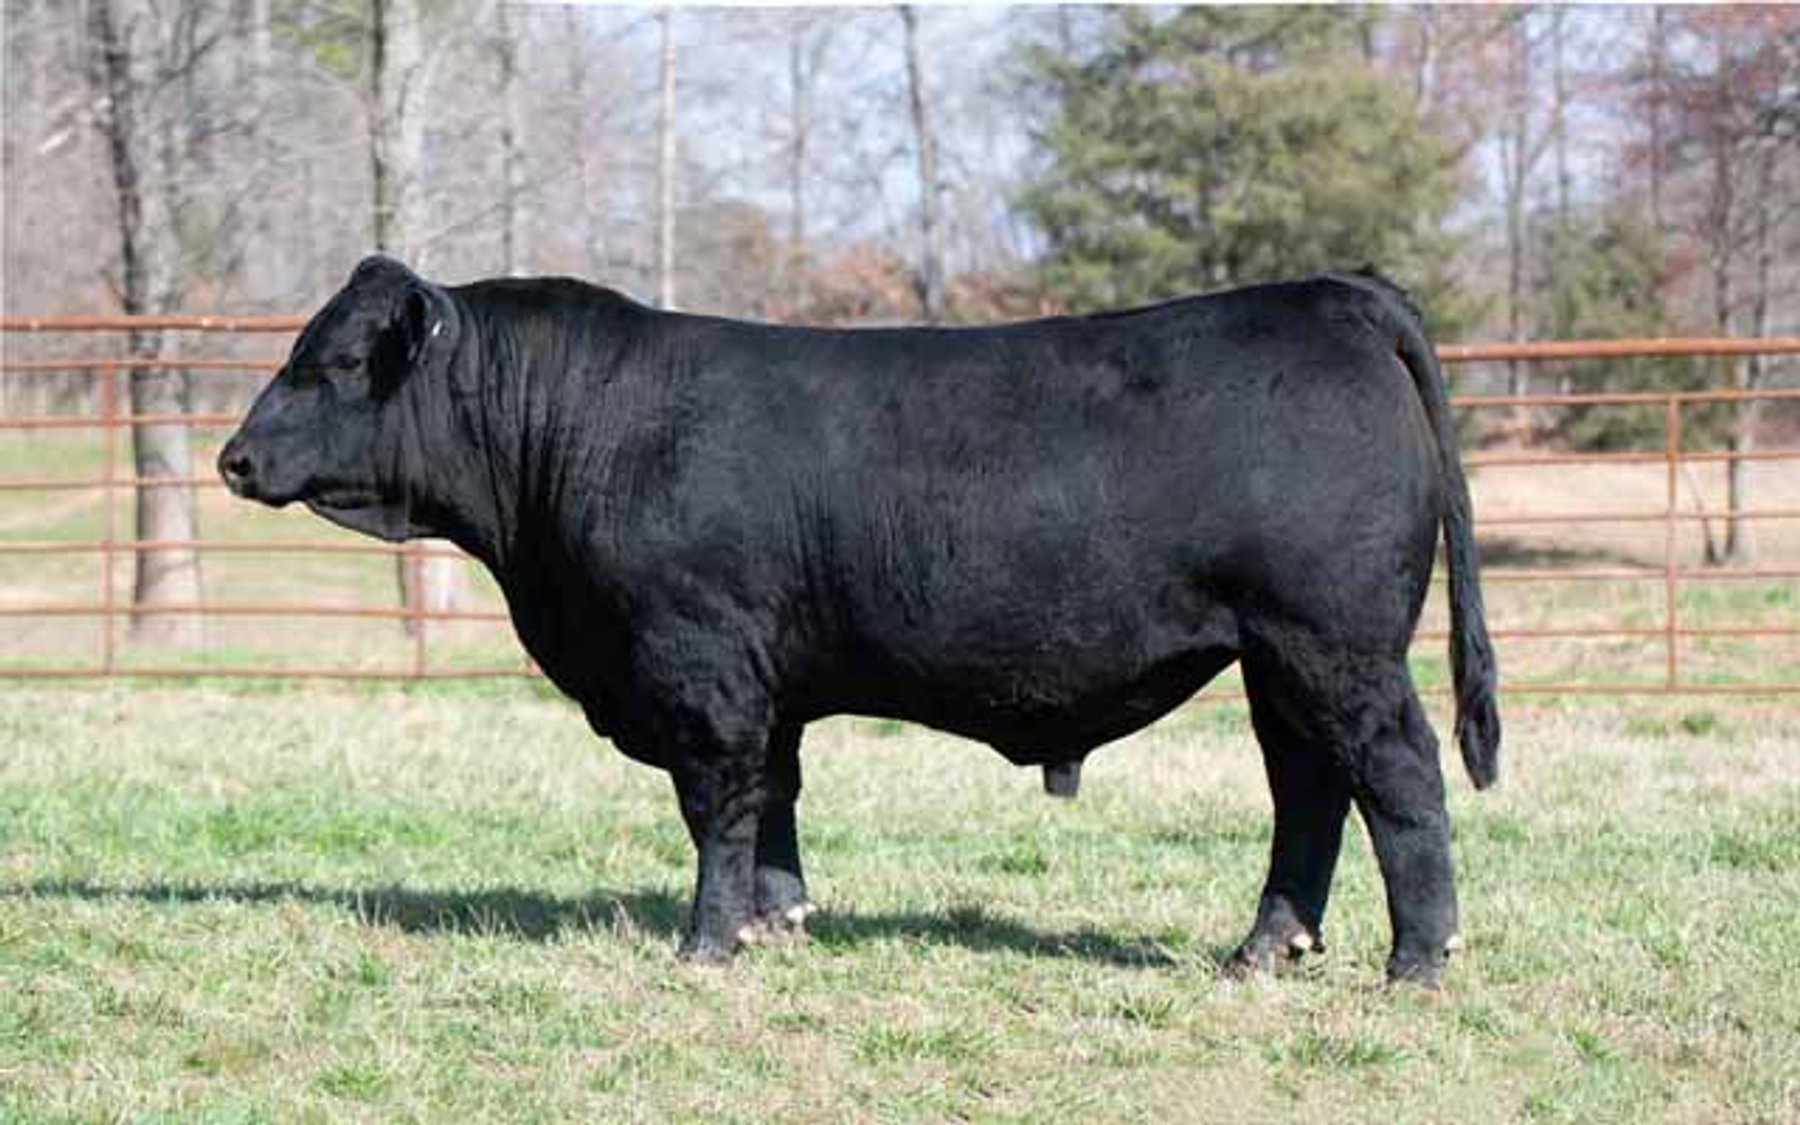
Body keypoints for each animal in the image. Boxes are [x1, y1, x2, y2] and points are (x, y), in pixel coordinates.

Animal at [219, 256, 1500, 985]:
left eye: (335, 361)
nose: (232, 457)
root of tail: (1331, 293)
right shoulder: (766, 678)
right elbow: (777, 797)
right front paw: (780, 922)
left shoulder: (699, 665)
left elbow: (718, 805)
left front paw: (707, 944)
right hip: (1276, 661)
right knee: (1310, 789)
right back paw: (1263, 951)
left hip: (1334, 646)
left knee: (1399, 776)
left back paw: (1418, 962)